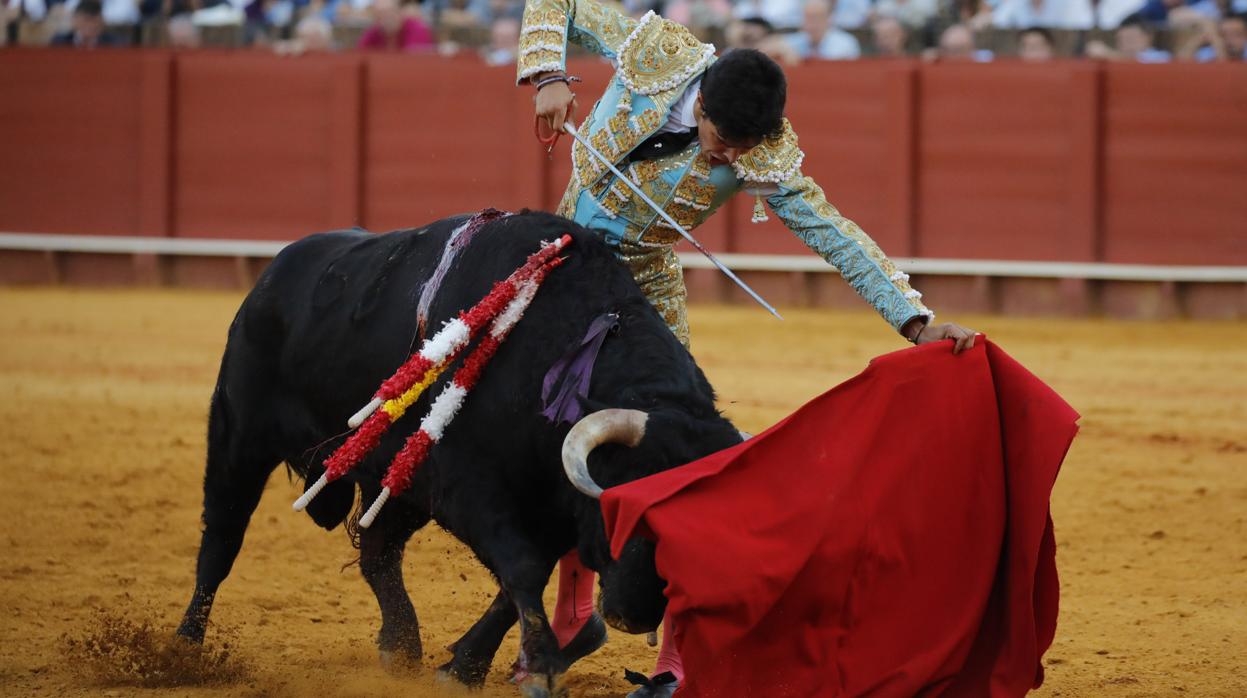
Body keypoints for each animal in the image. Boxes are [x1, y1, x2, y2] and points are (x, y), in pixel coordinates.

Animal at [175, 211, 738, 693]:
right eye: (624, 508)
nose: (635, 615)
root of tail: (273, 275)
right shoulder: (466, 488)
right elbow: (523, 568)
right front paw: (539, 666)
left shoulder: (553, 507)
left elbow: (515, 584)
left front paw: (464, 666)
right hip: (239, 437)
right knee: (222, 537)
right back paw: (185, 650)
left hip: (396, 481)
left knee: (378, 551)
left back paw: (401, 646)